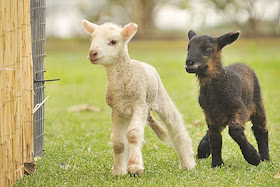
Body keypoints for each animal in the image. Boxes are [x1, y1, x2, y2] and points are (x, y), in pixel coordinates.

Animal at [81, 19, 195, 176]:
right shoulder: (116, 110)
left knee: (176, 126)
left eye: (113, 41)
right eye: (92, 39)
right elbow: (118, 142)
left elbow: (133, 134)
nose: (92, 53)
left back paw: (188, 163)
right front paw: (118, 170)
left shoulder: (139, 105)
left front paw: (135, 167)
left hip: (159, 97)